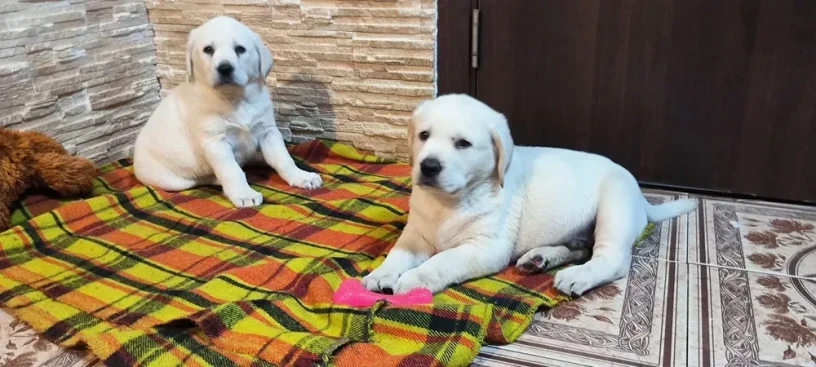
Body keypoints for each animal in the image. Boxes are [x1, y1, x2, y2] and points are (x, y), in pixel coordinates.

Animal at [132, 17, 320, 207]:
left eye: (240, 49)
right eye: (208, 49)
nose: (224, 68)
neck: (234, 99)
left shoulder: (268, 131)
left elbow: (284, 158)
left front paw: (301, 176)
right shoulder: (215, 143)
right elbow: (232, 171)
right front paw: (244, 194)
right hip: (172, 180)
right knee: (200, 179)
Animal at [364, 94, 696, 296]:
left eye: (463, 144)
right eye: (424, 135)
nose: (429, 166)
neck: (450, 201)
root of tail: (641, 198)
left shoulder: (485, 247)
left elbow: (443, 260)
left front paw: (415, 280)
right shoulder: (416, 234)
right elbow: (399, 253)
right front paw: (382, 273)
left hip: (614, 207)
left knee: (611, 258)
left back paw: (577, 275)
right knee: (580, 247)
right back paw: (540, 259)